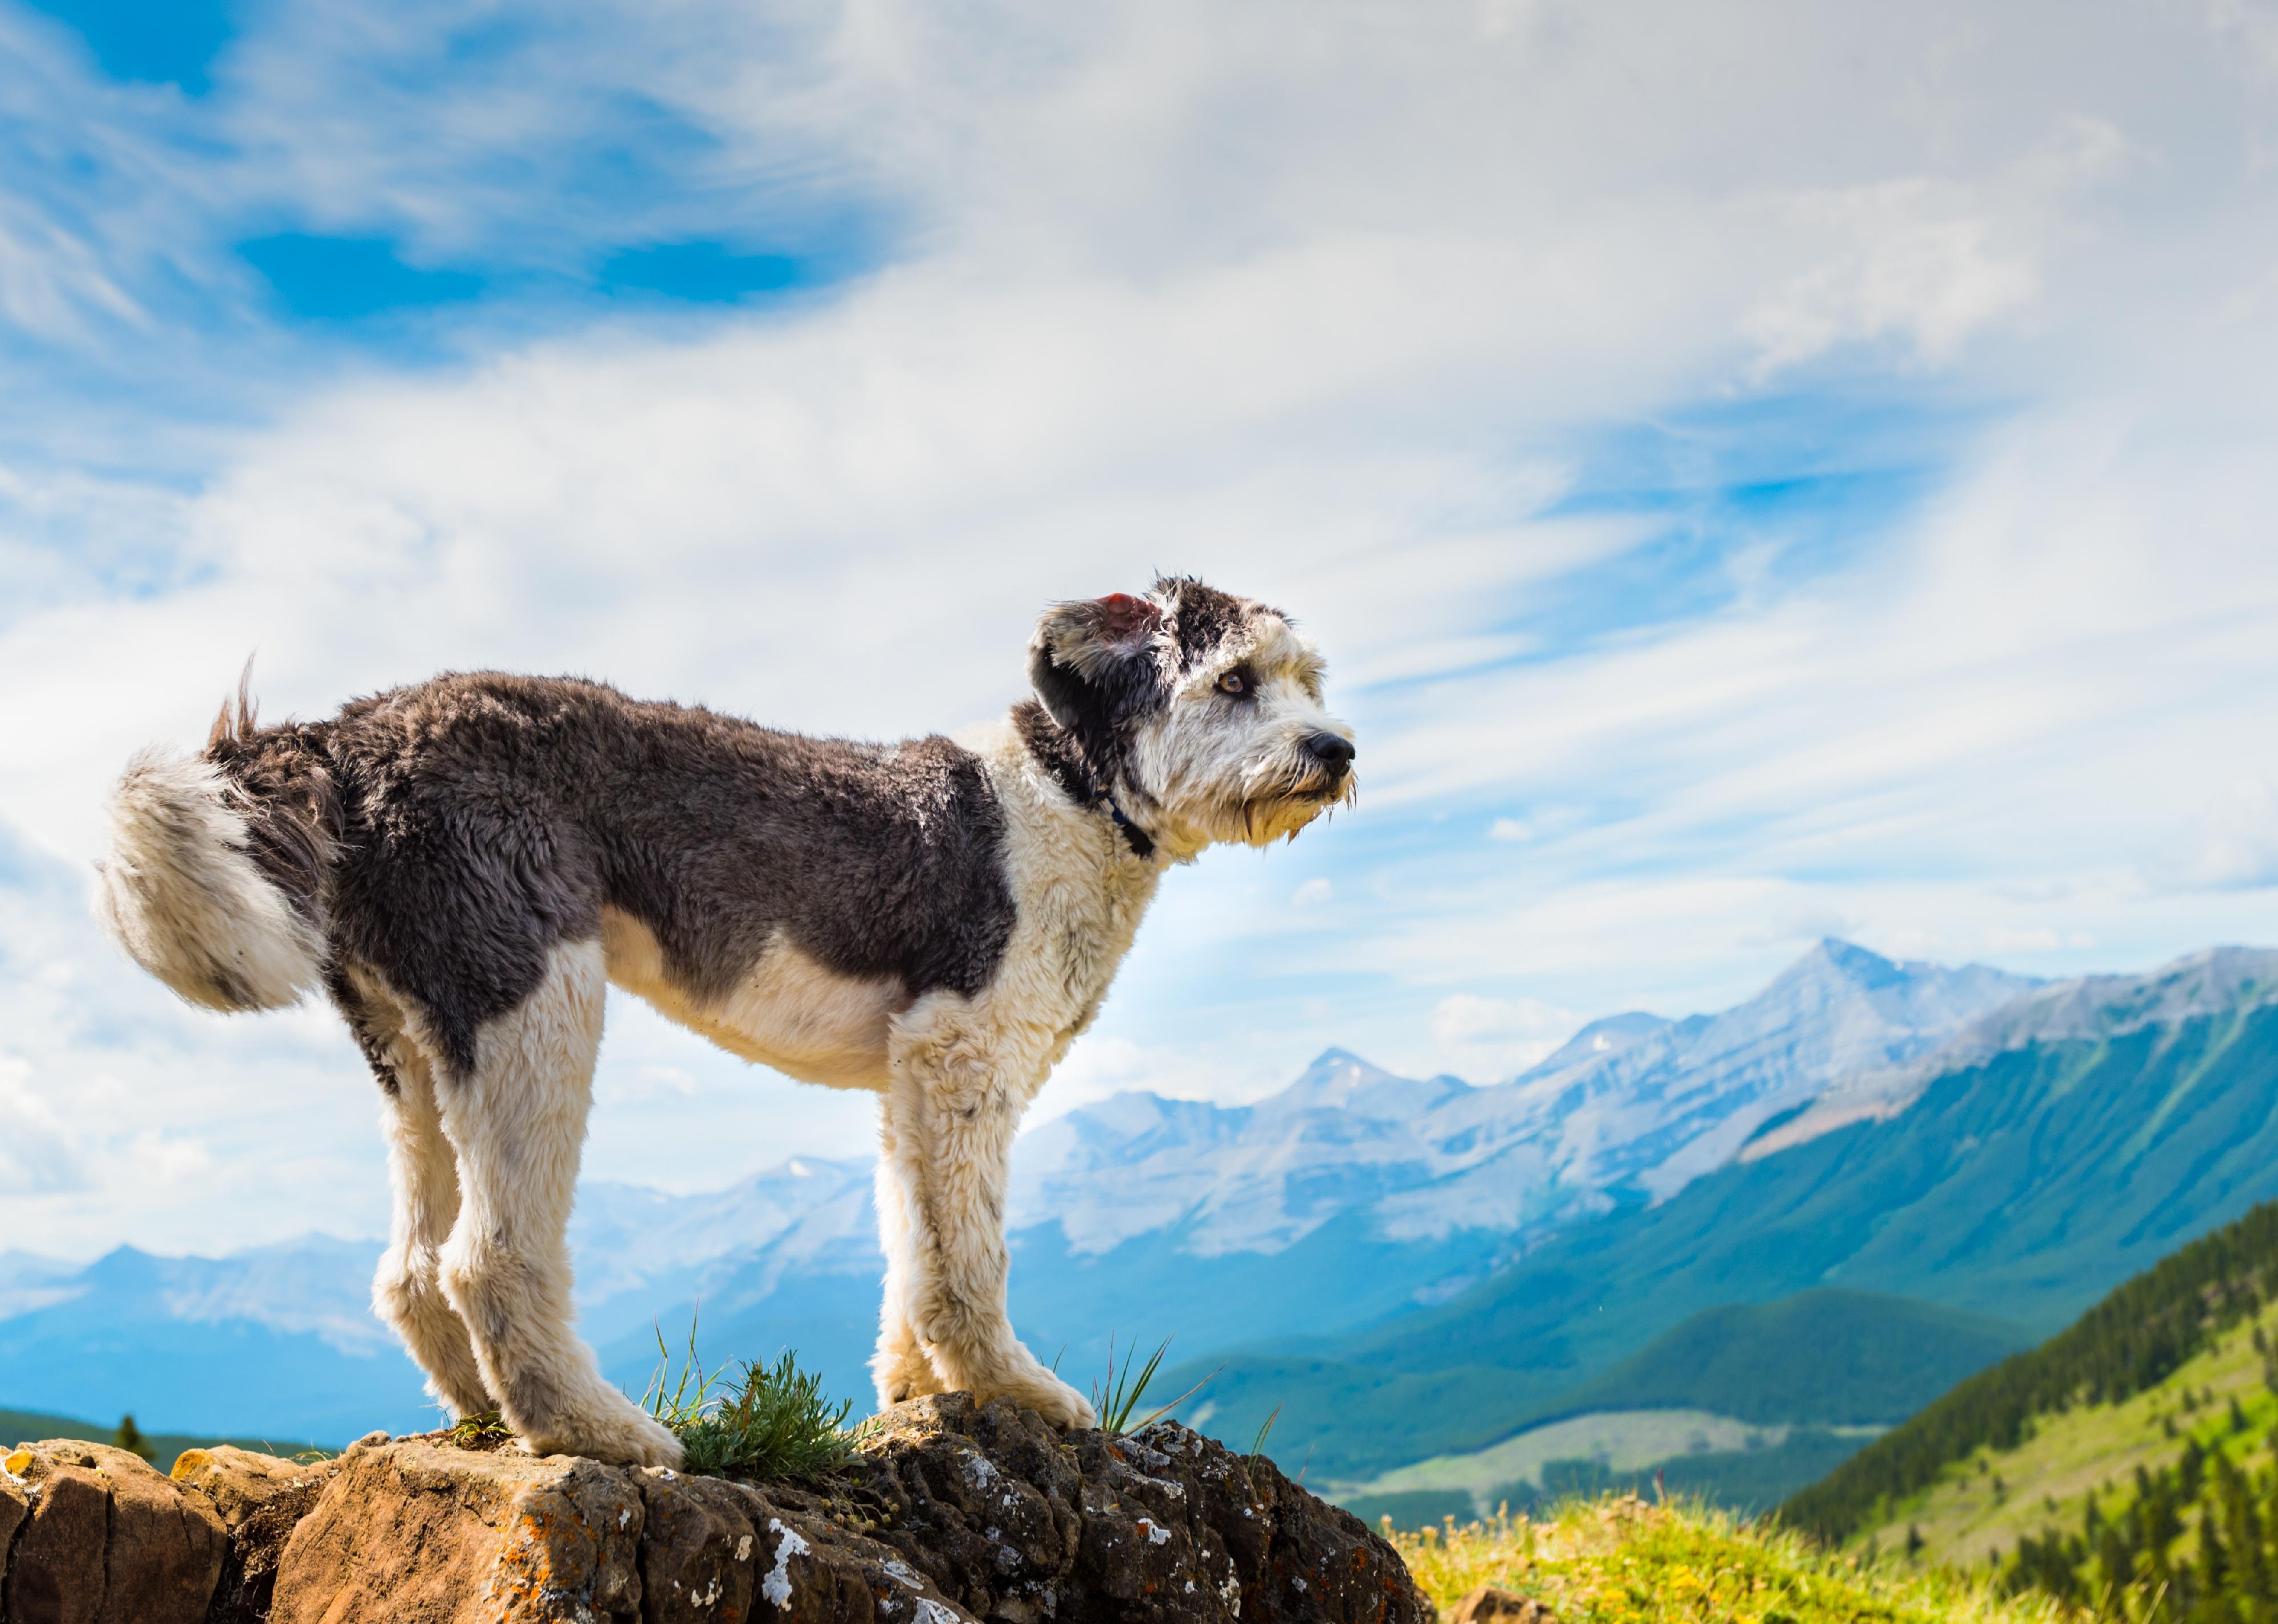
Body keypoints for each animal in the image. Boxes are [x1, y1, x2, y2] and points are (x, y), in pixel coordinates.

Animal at [93, 576, 1348, 1467]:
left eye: (1308, 679)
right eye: (1234, 681)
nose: (1334, 750)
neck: (1069, 792)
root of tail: (344, 738)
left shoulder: (912, 1081)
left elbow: (915, 1245)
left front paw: (917, 1392)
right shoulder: (963, 1052)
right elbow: (970, 1254)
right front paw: (1014, 1389)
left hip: (411, 1036)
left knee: (410, 1269)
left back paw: (490, 1417)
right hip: (534, 991)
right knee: (488, 1256)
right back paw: (598, 1432)